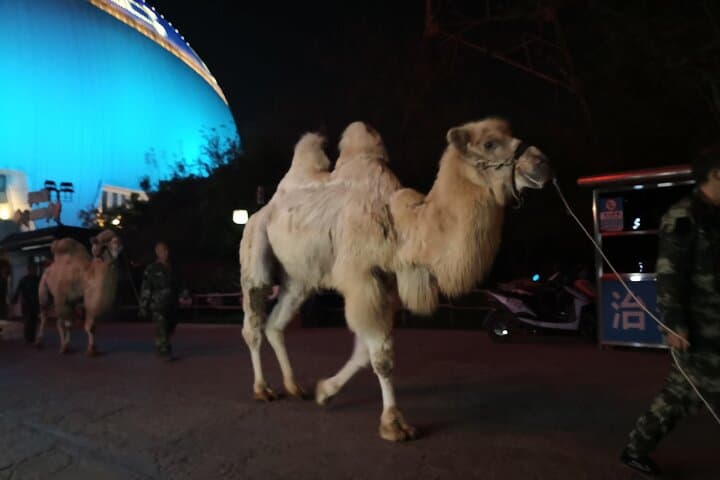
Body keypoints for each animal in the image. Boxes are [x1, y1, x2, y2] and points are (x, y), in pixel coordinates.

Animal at [239, 118, 552, 441]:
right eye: (490, 143)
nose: (541, 162)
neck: (402, 228)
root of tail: (264, 208)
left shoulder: (388, 283)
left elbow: (364, 353)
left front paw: (325, 391)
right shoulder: (363, 279)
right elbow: (381, 357)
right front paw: (393, 423)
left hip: (299, 279)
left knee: (276, 324)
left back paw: (294, 387)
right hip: (255, 249)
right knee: (253, 323)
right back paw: (262, 389)